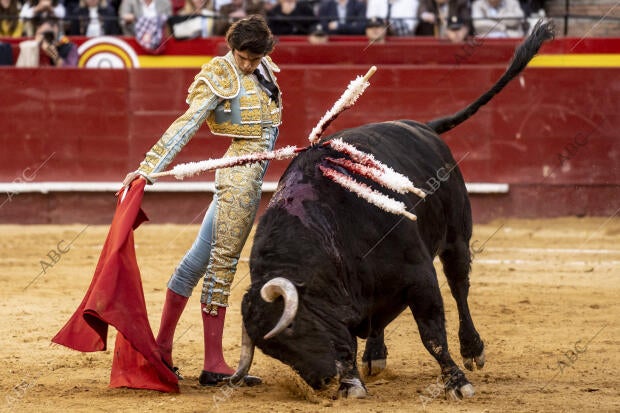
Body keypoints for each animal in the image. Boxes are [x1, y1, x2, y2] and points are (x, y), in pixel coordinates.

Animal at [230, 20, 556, 400]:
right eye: (274, 351)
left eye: (293, 328)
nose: (322, 381)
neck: (332, 229)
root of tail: (425, 127)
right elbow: (352, 339)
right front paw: (352, 382)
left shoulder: (420, 277)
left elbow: (432, 334)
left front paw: (456, 382)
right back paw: (375, 355)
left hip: (457, 238)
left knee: (459, 287)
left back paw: (473, 349)